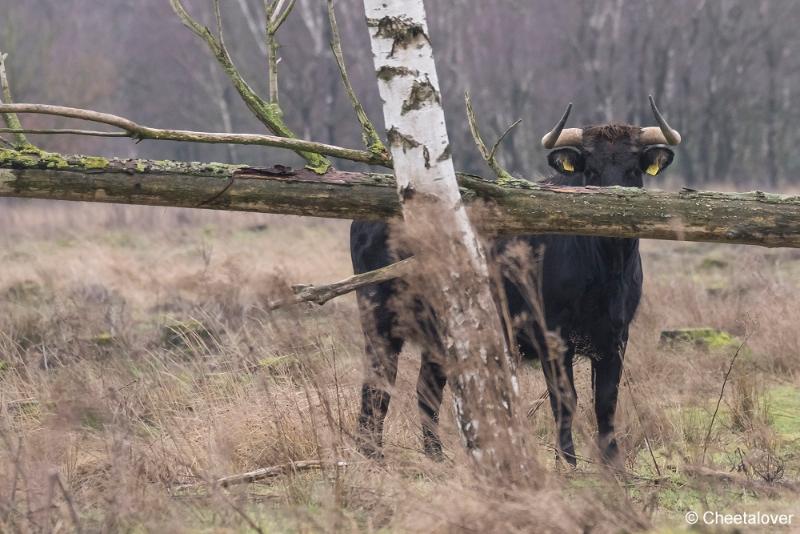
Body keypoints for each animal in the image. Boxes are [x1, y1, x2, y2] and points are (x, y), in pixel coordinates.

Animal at [350, 123, 676, 466]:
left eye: (632, 169)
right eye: (591, 170)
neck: (606, 271)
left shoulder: (616, 337)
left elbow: (606, 400)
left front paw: (613, 463)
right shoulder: (552, 336)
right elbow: (565, 399)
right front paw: (567, 461)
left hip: (440, 333)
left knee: (426, 389)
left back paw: (435, 455)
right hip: (379, 319)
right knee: (377, 383)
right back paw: (371, 452)